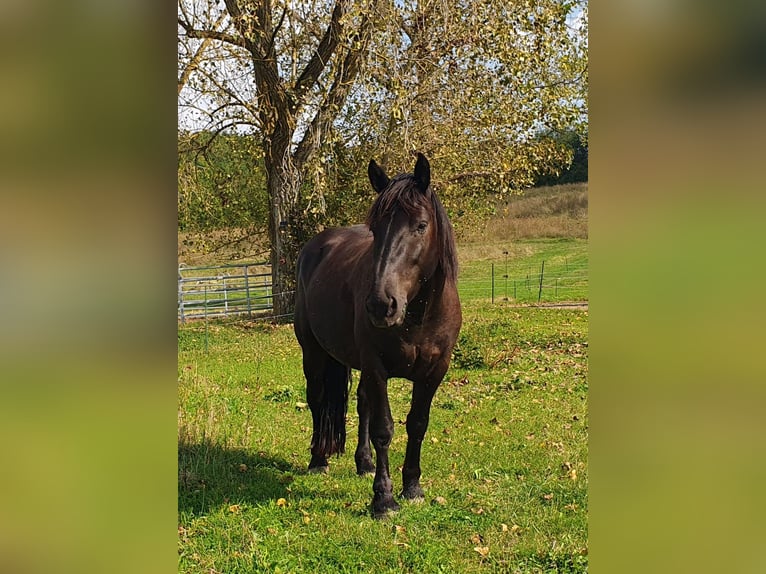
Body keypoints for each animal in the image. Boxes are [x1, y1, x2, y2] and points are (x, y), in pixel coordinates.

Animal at [294, 155, 462, 520]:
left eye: (421, 225)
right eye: (375, 229)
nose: (381, 304)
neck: (418, 316)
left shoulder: (434, 372)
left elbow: (417, 424)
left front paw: (412, 487)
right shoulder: (376, 367)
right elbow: (383, 429)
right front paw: (383, 499)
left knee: (362, 403)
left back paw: (364, 463)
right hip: (313, 353)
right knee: (317, 400)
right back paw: (318, 460)